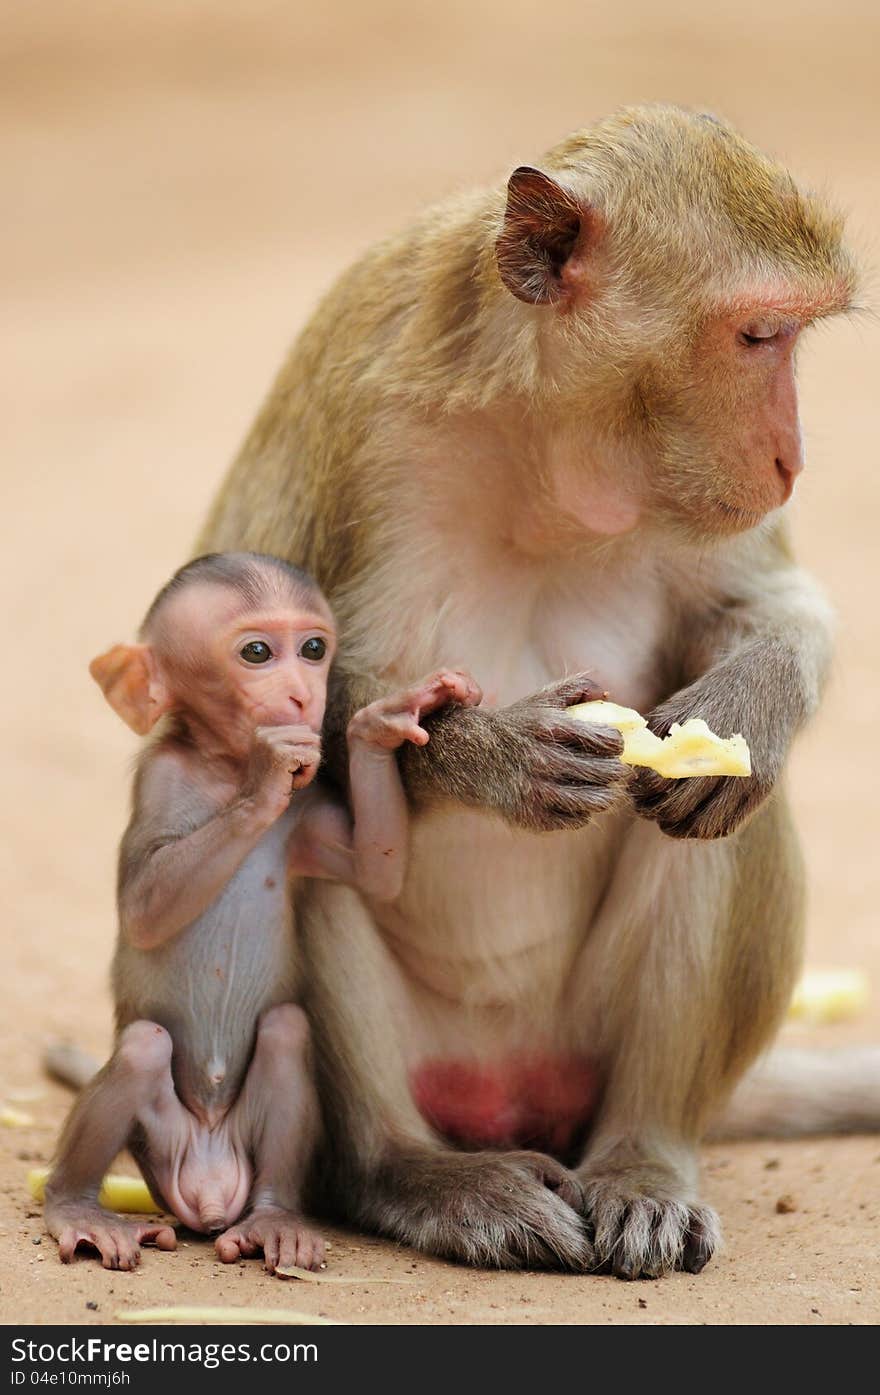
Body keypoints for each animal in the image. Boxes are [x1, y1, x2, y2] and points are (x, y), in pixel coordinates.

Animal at [44, 549, 482, 1272]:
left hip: (246, 1147)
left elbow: (376, 870)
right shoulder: (160, 779)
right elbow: (142, 910)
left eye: (313, 649)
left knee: (285, 1031)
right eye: (256, 652)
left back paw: (276, 1219)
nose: (303, 695)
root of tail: (208, 1186)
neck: (220, 765)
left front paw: (380, 724)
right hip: (159, 1143)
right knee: (143, 1046)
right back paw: (77, 1208)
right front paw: (267, 773)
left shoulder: (307, 820)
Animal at [200, 103, 870, 1277]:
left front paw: (750, 700)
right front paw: (492, 756)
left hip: (585, 1050)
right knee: (288, 825)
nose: (790, 460)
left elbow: (770, 606)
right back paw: (412, 1174)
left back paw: (644, 1160)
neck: (545, 451)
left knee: (722, 816)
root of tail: (507, 1096)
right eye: (758, 337)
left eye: (790, 335)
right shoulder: (363, 411)